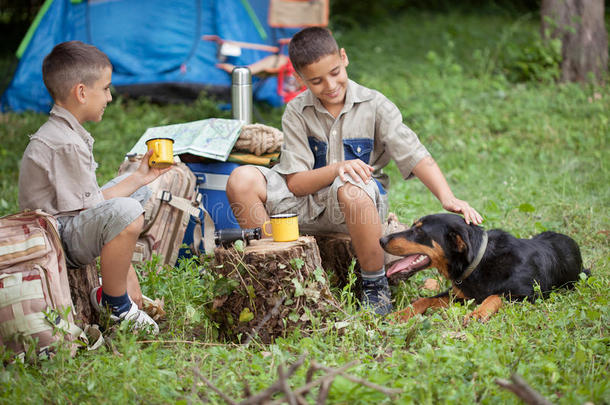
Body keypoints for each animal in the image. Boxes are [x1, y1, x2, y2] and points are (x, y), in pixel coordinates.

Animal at [378, 213, 588, 324]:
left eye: (419, 231)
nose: (381, 240)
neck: (480, 263)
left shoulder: (529, 295)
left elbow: (495, 296)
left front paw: (478, 313)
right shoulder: (458, 295)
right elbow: (424, 300)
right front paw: (400, 314)